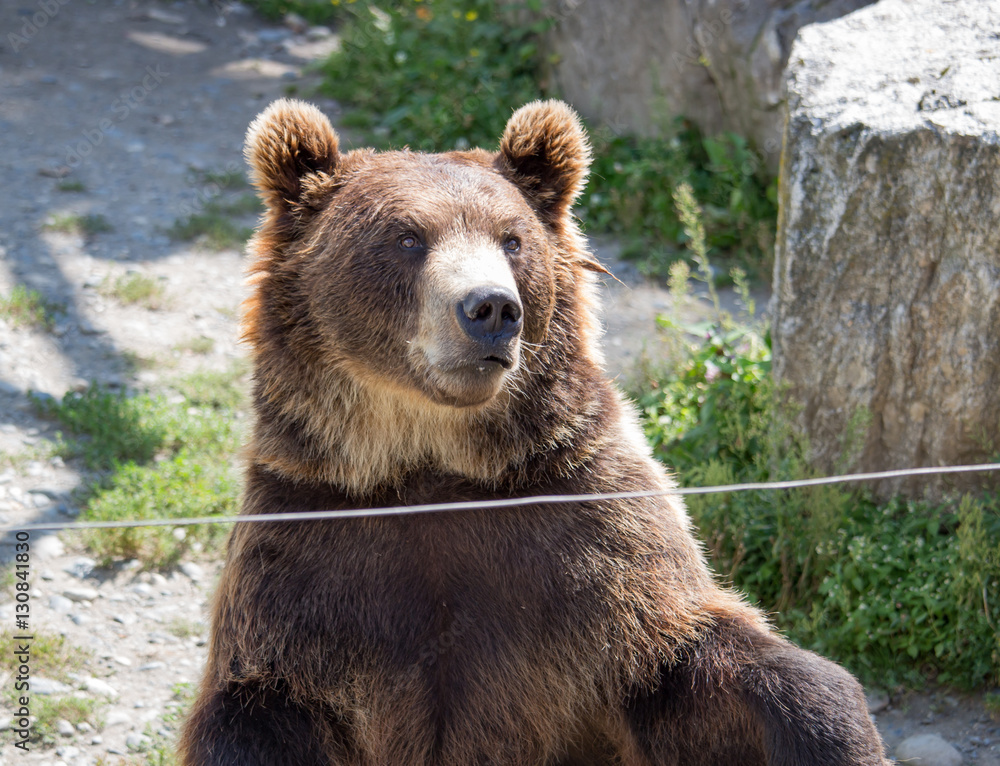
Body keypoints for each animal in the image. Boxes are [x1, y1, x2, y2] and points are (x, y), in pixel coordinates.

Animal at [178, 98, 891, 766]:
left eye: (512, 239)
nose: (491, 308)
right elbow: (258, 709)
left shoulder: (585, 534)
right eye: (406, 237)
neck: (430, 458)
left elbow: (699, 659)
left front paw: (832, 726)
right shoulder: (314, 554)